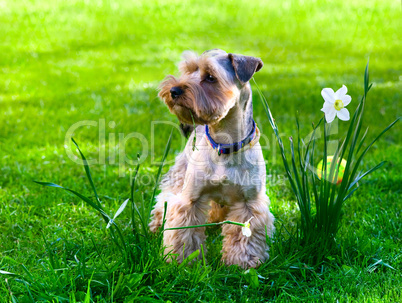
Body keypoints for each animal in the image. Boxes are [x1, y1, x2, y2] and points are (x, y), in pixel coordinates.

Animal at [149, 50, 274, 270]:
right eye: (189, 70)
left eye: (210, 77)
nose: (173, 90)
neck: (224, 145)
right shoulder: (190, 198)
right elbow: (184, 232)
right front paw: (182, 261)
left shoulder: (249, 203)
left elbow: (245, 237)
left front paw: (242, 262)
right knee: (164, 201)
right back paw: (156, 227)